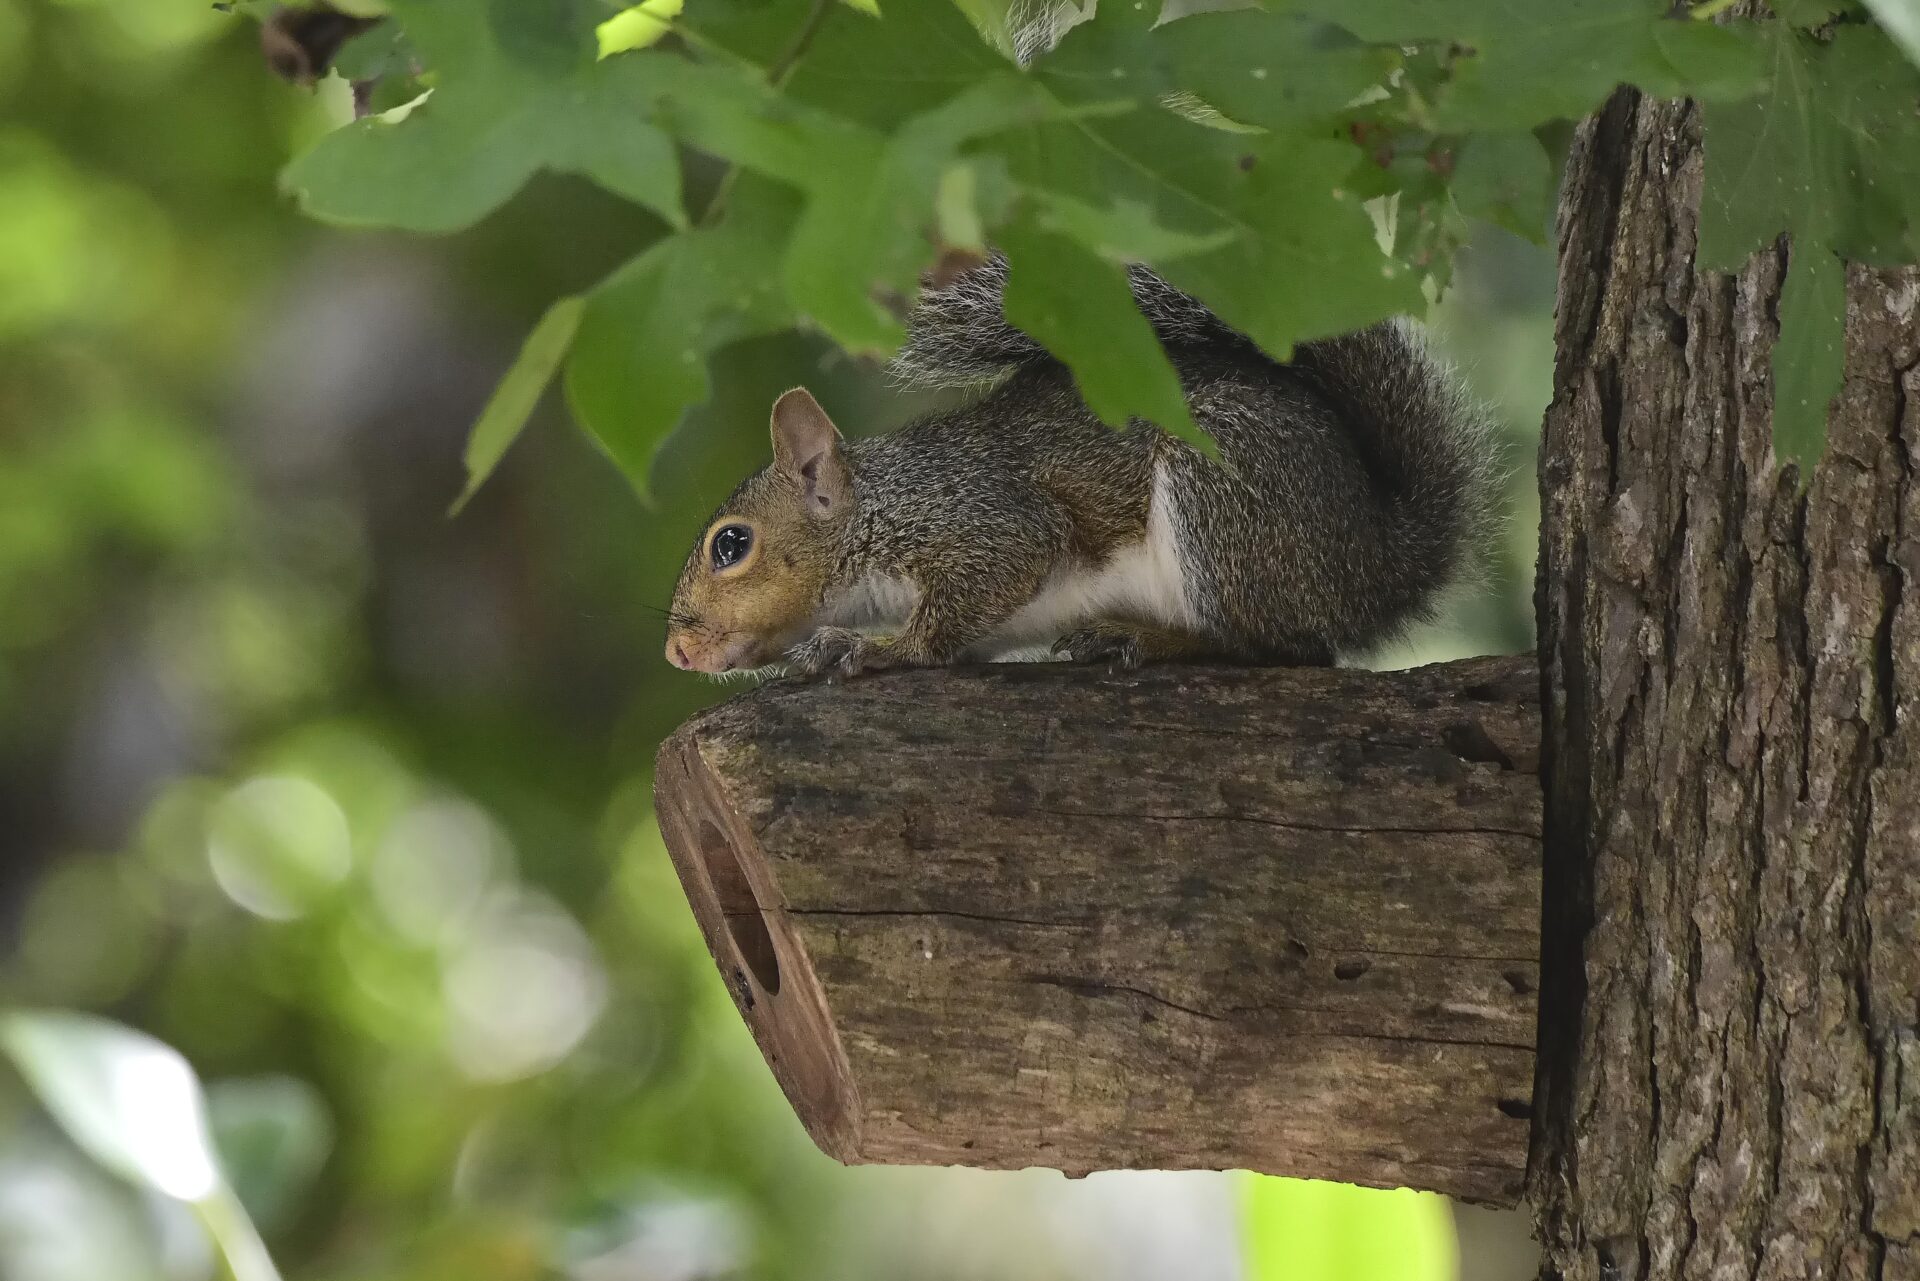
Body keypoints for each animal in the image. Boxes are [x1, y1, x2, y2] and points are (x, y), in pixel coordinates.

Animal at [663, 255, 1499, 679]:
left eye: (731, 545)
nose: (676, 648)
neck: (878, 504)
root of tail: (1376, 559)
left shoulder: (978, 517)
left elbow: (971, 594)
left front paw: (878, 648)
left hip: (1223, 503)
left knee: (1289, 649)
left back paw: (1147, 640)